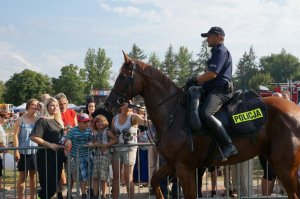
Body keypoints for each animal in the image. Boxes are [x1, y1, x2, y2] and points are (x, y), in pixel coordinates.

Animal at [105, 51, 300, 199]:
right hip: (275, 162)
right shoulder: (173, 163)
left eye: (122, 77)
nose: (108, 104)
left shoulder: (185, 168)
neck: (173, 114)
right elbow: (154, 180)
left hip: (284, 166)